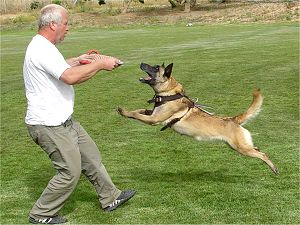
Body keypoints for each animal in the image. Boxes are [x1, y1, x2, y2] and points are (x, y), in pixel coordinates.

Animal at [118, 62, 278, 175]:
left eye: (156, 68)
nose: (141, 63)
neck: (169, 93)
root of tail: (233, 119)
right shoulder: (152, 112)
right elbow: (139, 110)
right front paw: (124, 110)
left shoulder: (154, 119)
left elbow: (137, 115)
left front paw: (124, 111)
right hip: (240, 145)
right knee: (257, 148)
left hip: (241, 148)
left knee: (262, 154)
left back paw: (273, 168)